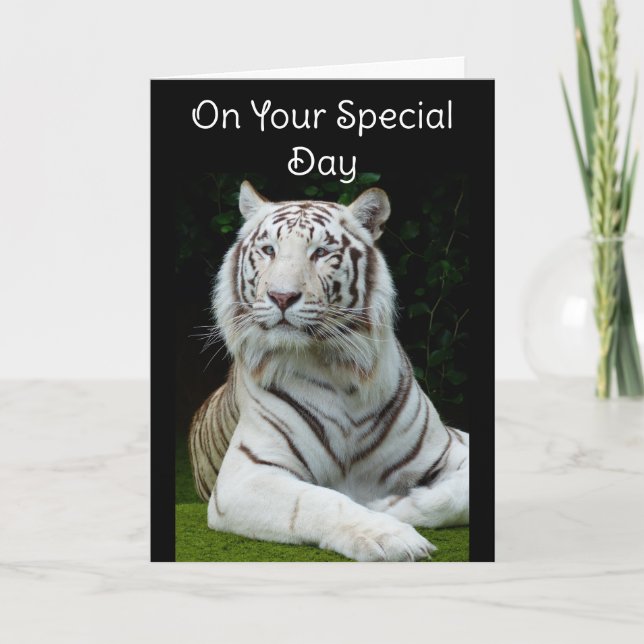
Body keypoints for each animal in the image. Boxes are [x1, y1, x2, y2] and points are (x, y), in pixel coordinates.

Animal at [188, 180, 469, 562]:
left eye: (320, 252)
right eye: (268, 250)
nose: (281, 297)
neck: (341, 372)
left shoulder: (450, 448)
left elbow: (458, 495)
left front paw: (392, 506)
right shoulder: (245, 476)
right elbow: (320, 501)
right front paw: (390, 535)